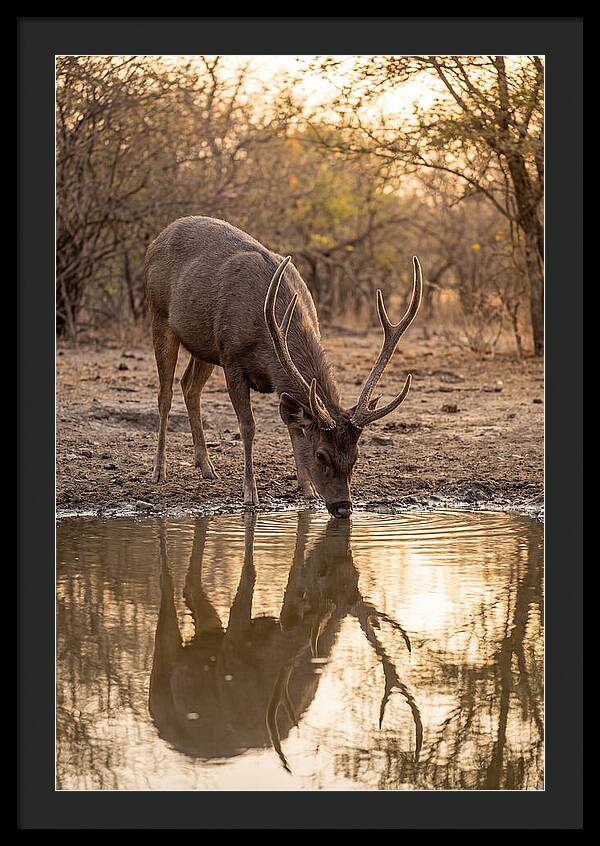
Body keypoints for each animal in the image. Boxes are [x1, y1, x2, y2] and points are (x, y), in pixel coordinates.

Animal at [144, 216, 422, 517]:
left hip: (203, 346)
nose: (343, 507)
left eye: (356, 455)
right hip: (159, 315)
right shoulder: (232, 359)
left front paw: (307, 489)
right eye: (321, 454)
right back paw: (159, 471)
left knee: (189, 386)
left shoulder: (273, 377)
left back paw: (207, 468)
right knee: (165, 394)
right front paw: (250, 494)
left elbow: (293, 428)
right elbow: (248, 426)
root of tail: (156, 240)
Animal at [149, 511, 421, 772]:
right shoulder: (232, 651)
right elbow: (252, 576)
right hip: (162, 677)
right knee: (167, 602)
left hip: (208, 634)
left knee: (191, 590)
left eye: (356, 574)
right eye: (323, 571)